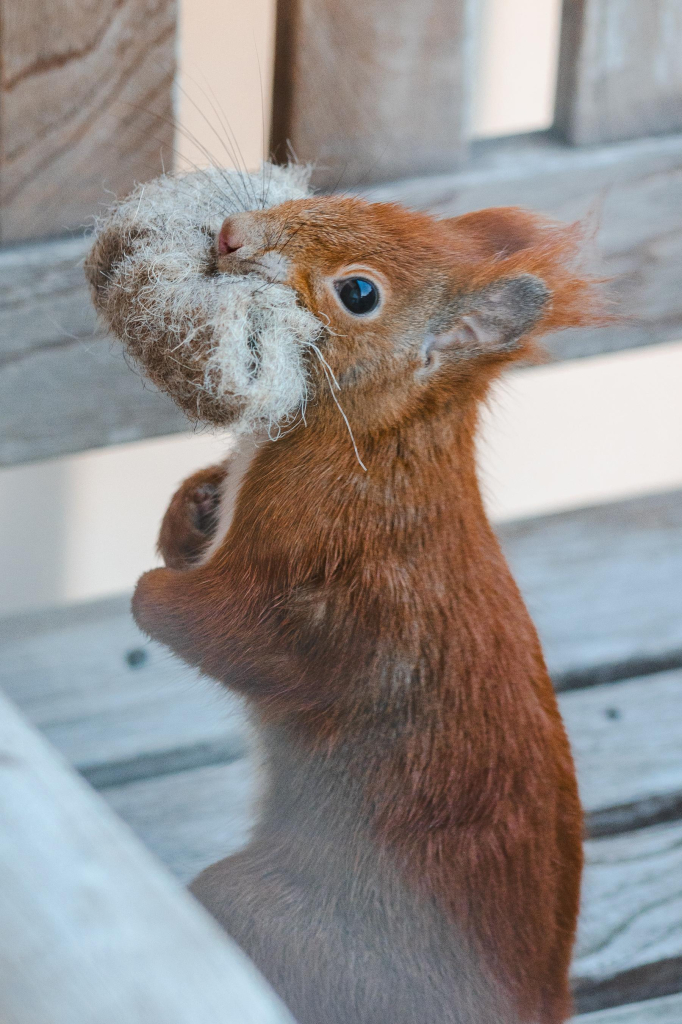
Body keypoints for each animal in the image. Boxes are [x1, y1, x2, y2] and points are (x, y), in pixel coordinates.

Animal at [123, 193, 602, 1024]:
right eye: (344, 199)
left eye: (359, 293)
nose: (232, 236)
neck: (379, 438)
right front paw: (192, 506)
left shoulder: (325, 559)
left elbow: (244, 640)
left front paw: (151, 590)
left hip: (284, 924)